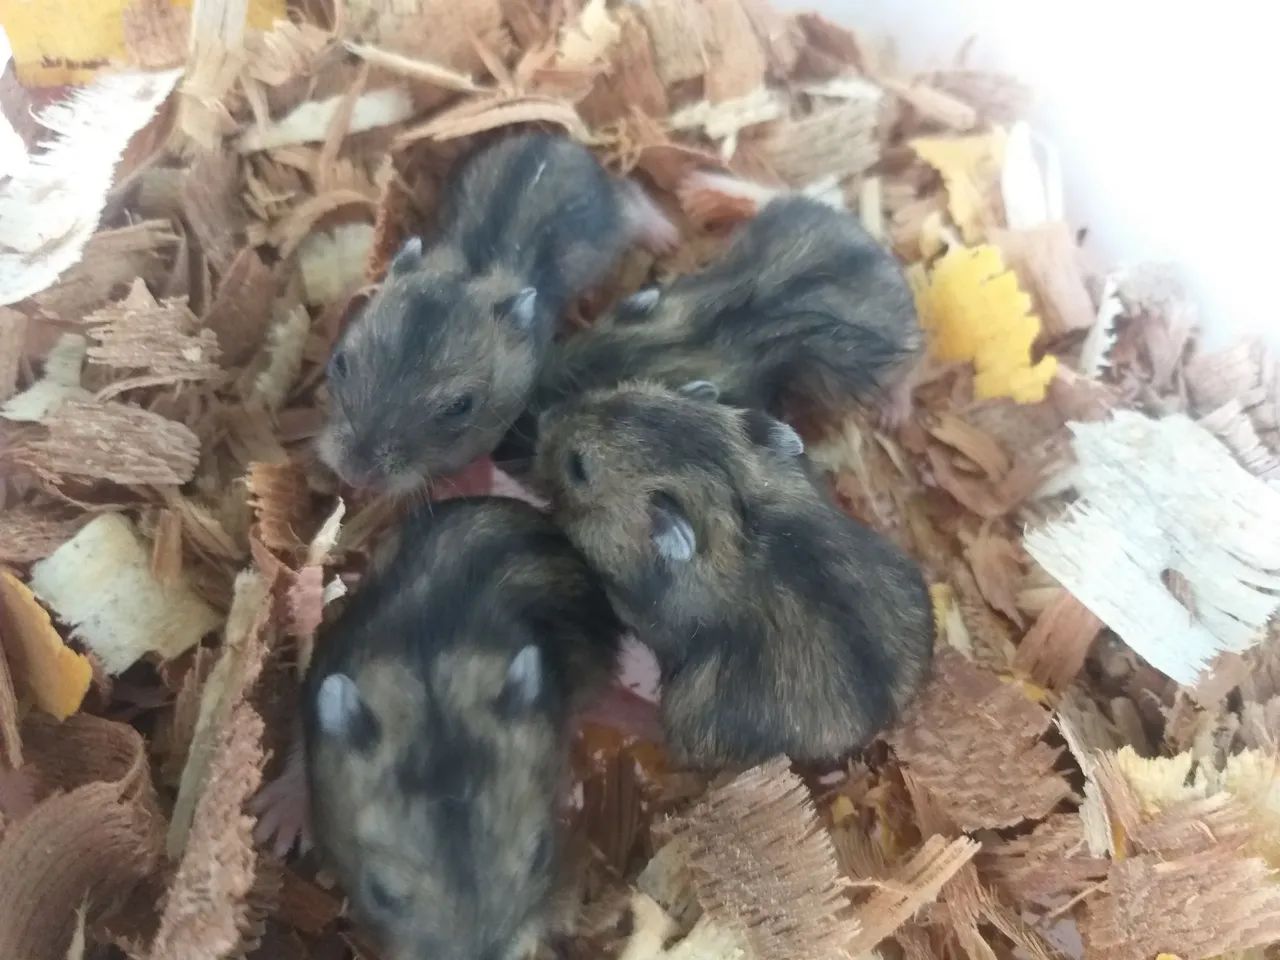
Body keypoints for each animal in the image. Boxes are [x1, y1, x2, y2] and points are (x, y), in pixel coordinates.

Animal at [318, 130, 674, 492]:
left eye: (460, 406)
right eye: (340, 363)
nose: (354, 475)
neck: (470, 272)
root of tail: (558, 141)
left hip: (612, 218)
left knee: (630, 195)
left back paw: (667, 237)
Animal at [498, 194, 922, 465]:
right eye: (572, 345)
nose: (505, 439)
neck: (697, 336)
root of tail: (885, 255)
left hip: (887, 355)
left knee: (909, 366)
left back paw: (894, 414)